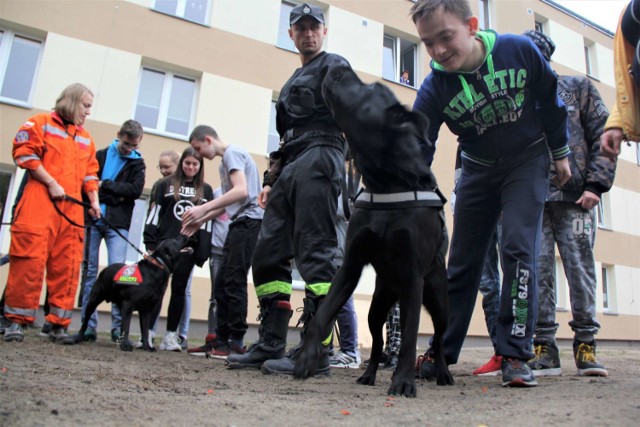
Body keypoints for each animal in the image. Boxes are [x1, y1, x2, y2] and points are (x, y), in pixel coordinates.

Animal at [292, 66, 452, 398]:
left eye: (371, 89)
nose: (335, 67)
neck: (387, 182)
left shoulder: (413, 277)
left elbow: (409, 339)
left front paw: (403, 381)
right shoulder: (350, 265)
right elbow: (322, 314)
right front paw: (307, 357)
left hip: (437, 299)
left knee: (439, 339)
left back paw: (442, 372)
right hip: (378, 306)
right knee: (378, 341)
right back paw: (368, 374)